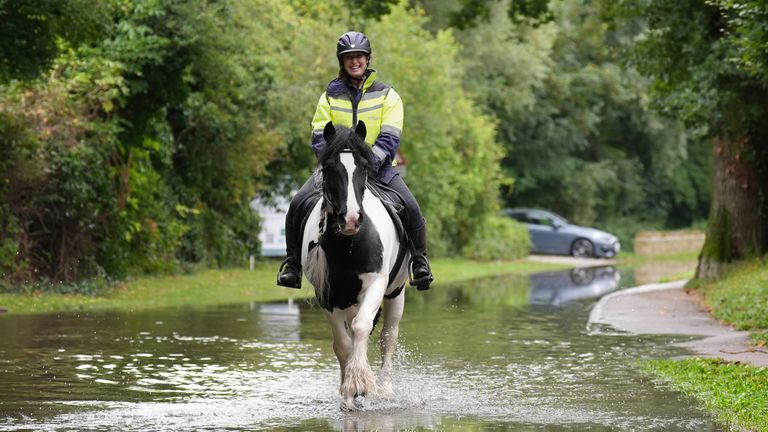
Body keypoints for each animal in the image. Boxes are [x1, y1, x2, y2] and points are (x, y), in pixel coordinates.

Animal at [300, 120, 412, 408]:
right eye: (329, 167)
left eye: (363, 166)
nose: (350, 219)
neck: (349, 244)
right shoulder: (326, 294)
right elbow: (342, 344)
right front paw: (348, 391)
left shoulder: (376, 284)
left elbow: (363, 326)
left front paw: (361, 384)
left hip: (396, 293)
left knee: (388, 337)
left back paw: (385, 388)